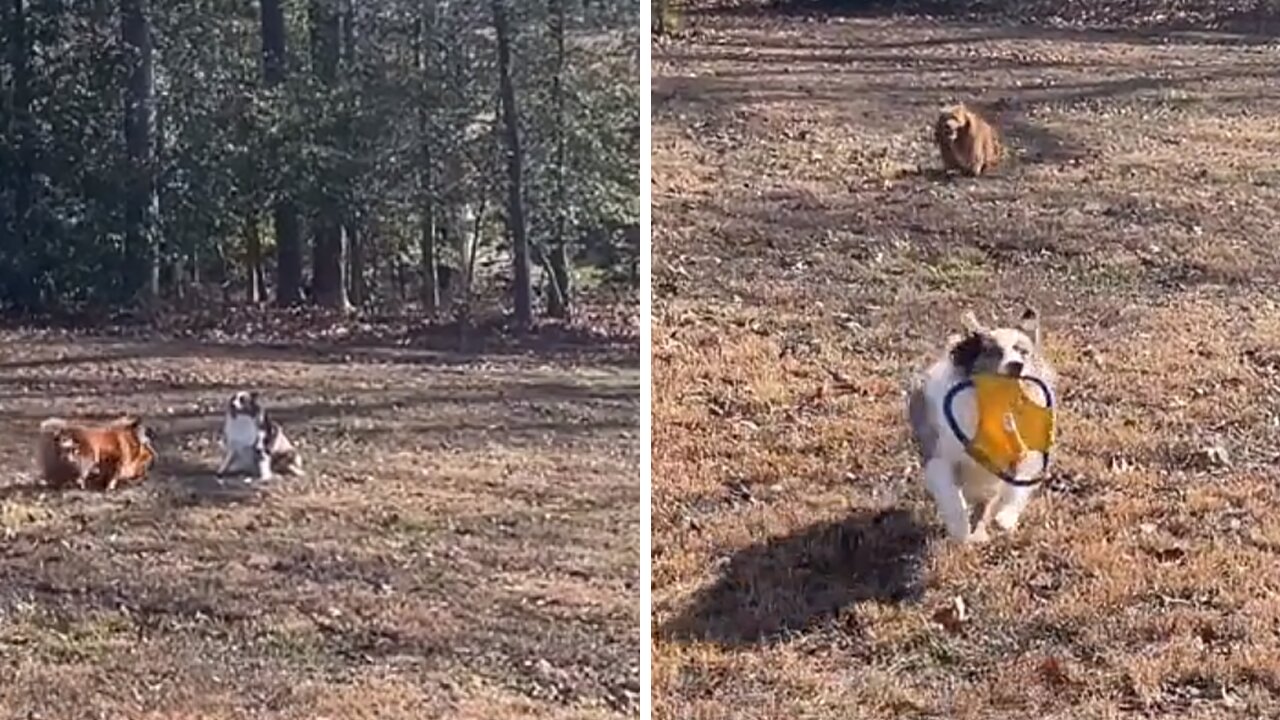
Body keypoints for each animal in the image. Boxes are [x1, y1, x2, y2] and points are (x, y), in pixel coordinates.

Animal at [906, 307, 1054, 538]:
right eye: (994, 352)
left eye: (1023, 352)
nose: (1017, 365)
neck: (996, 404)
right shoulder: (941, 457)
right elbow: (953, 497)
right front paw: (961, 531)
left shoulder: (1015, 459)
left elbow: (1009, 490)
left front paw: (1000, 520)